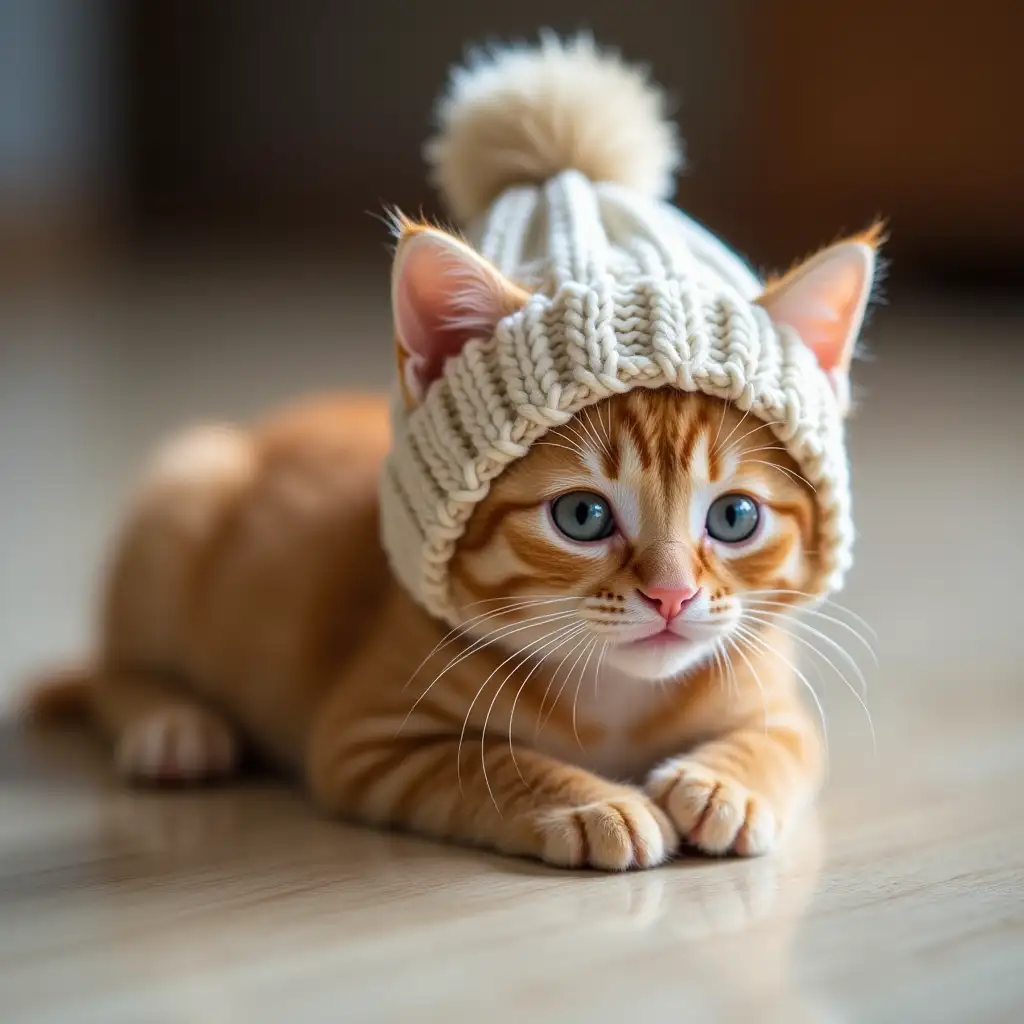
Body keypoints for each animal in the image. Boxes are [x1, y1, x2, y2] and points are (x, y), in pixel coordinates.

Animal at [25, 41, 880, 872]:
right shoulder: (369, 739)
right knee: (113, 671)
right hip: (183, 494)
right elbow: (489, 763)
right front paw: (588, 803)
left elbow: (788, 742)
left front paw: (725, 782)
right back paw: (172, 722)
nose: (671, 596)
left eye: (734, 517)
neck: (616, 700)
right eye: (582, 515)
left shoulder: (774, 694)